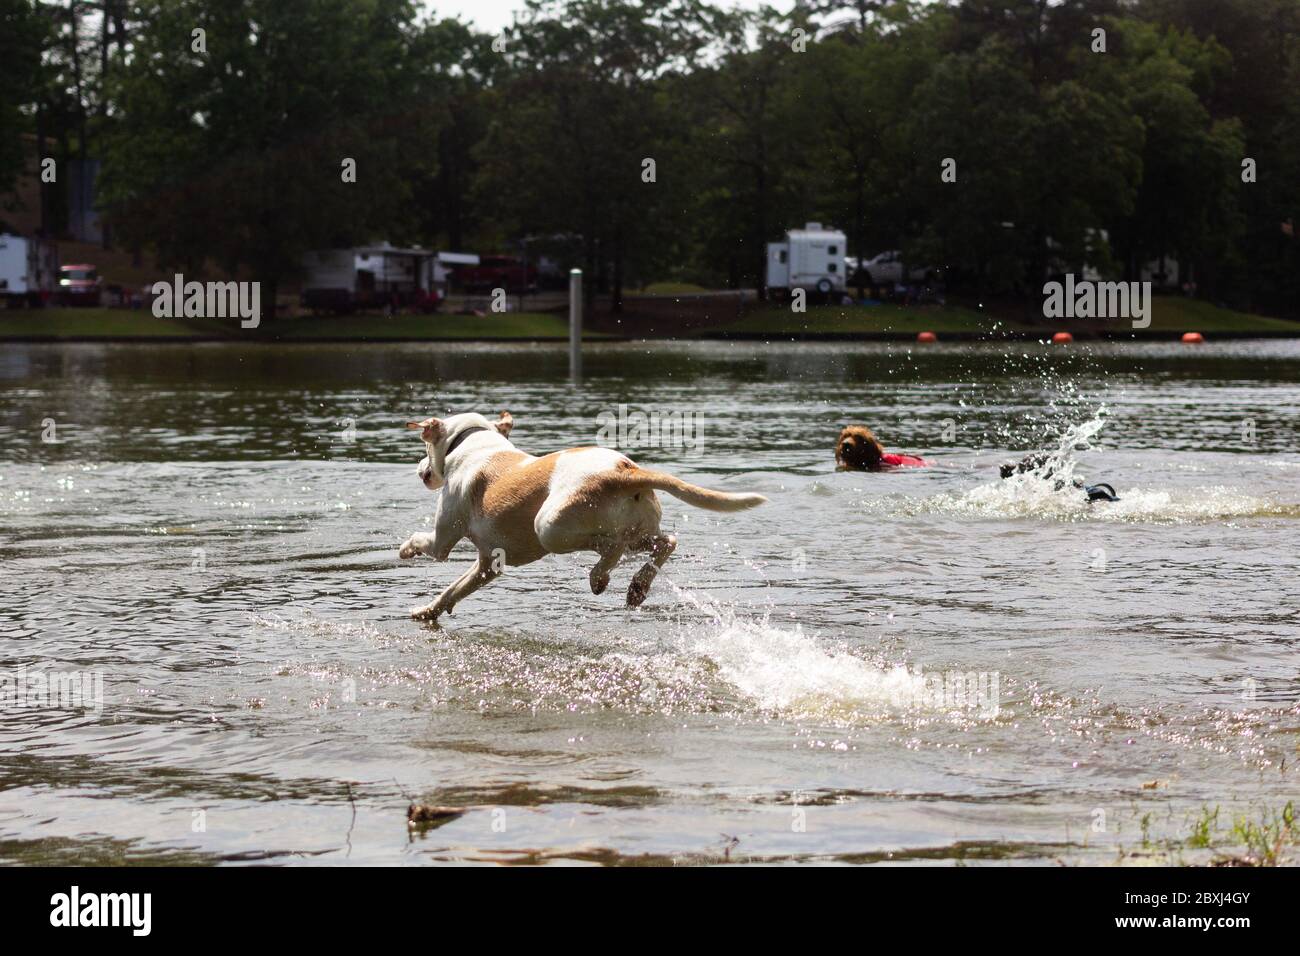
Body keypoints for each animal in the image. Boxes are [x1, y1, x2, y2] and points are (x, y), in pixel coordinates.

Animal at [395, 408, 759, 621]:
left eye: (425, 445)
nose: (420, 469)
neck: (474, 443)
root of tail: (624, 471)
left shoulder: (443, 541)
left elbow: (426, 544)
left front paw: (406, 549)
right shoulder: (488, 565)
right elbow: (452, 590)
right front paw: (427, 611)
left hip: (550, 528)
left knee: (611, 548)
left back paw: (599, 578)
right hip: (639, 532)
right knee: (665, 542)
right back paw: (637, 586)